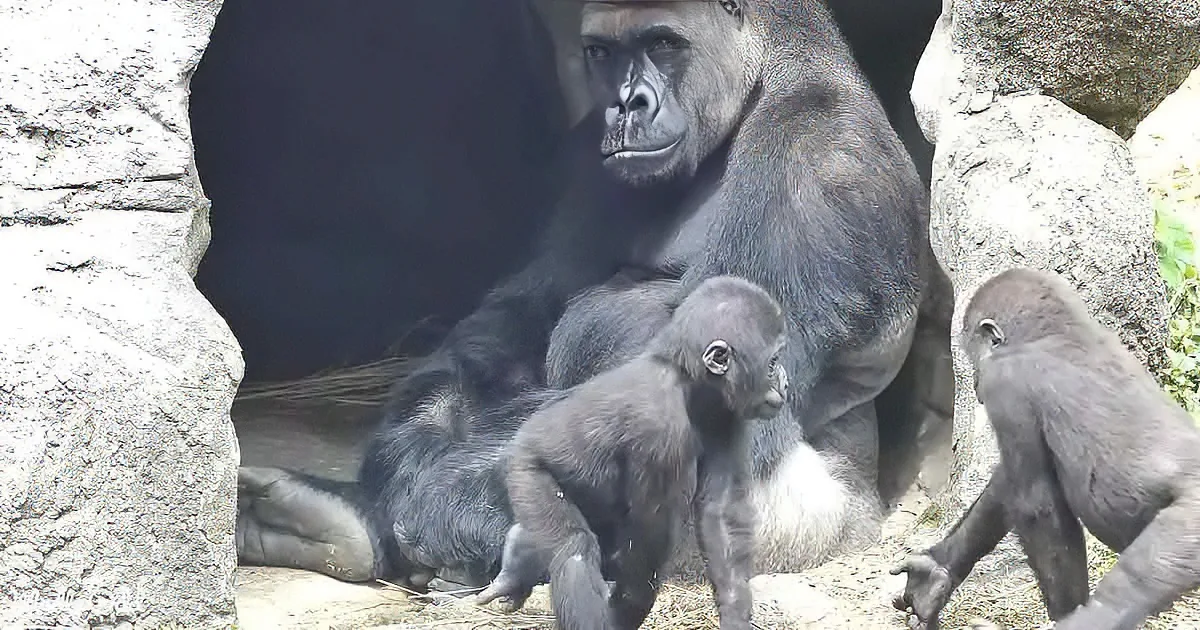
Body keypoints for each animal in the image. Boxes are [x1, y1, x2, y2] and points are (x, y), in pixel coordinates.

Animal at [472, 275, 789, 630]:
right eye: (772, 363)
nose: (785, 382)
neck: (685, 377)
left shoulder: (726, 415)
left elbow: (718, 514)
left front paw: (735, 612)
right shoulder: (659, 431)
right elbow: (647, 548)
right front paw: (627, 607)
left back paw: (518, 555)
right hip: (526, 469)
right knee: (574, 549)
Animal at [892, 267, 1200, 630]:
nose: (976, 385)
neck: (1055, 332)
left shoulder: (1006, 387)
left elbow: (1036, 504)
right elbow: (1005, 486)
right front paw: (936, 573)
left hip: (1189, 524)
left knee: (1125, 593)